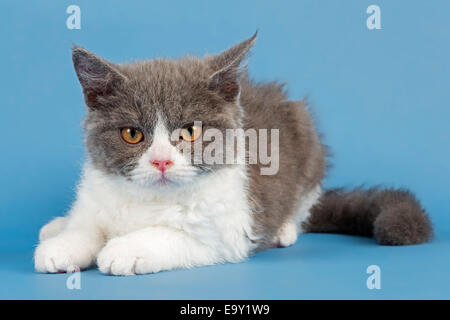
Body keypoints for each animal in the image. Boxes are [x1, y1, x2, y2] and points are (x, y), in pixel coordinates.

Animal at [34, 33, 432, 276]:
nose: (162, 161)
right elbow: (88, 225)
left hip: (307, 140)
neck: (149, 200)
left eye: (190, 132)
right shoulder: (97, 192)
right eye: (133, 134)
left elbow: (173, 237)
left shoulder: (228, 231)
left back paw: (284, 229)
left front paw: (124, 249)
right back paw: (55, 226)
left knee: (303, 206)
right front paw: (64, 245)